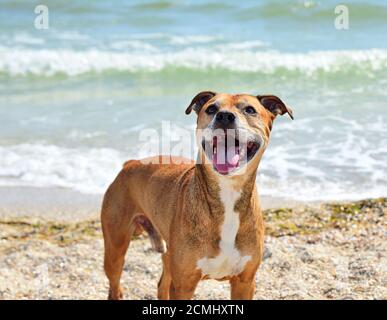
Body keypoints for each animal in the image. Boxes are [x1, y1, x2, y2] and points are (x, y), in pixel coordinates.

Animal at [101, 90, 294, 300]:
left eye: (250, 110)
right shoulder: (183, 284)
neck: (228, 191)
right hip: (115, 248)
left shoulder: (245, 282)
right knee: (115, 283)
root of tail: (130, 163)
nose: (224, 116)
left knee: (162, 284)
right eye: (211, 108)